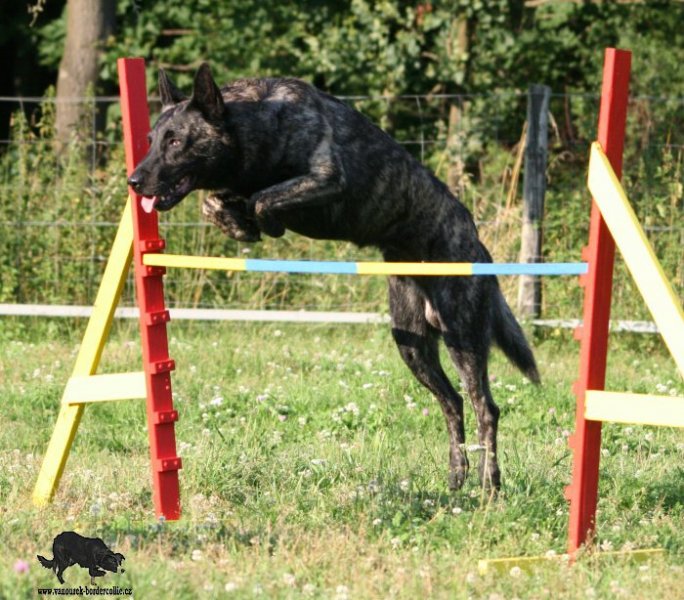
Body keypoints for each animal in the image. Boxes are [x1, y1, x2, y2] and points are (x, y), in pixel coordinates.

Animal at [130, 63, 540, 490]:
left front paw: (261, 222)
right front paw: (238, 222)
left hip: (463, 339)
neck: (256, 127)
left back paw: (489, 484)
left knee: (486, 408)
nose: (134, 181)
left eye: (177, 141)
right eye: (151, 140)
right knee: (453, 402)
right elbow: (216, 202)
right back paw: (457, 478)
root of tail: (478, 244)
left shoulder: (326, 179)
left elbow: (263, 198)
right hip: (412, 346)